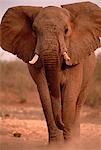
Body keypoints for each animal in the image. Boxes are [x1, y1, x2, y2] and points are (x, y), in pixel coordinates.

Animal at [0, 1, 101, 144]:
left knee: (79, 102)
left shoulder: (75, 56)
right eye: (34, 31)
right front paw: (55, 145)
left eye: (66, 30)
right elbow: (45, 95)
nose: (64, 124)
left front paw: (69, 144)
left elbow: (70, 94)